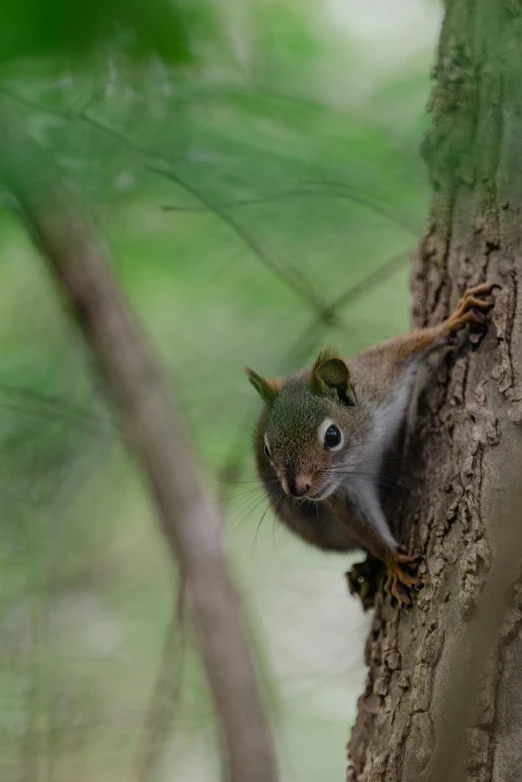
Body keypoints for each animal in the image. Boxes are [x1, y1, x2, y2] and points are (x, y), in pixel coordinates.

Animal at [244, 284, 496, 608]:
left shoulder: (382, 377)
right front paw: (393, 562)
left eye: (332, 436)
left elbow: (405, 346)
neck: (365, 446)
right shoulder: (343, 492)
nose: (297, 488)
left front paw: (453, 321)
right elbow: (364, 527)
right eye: (267, 450)